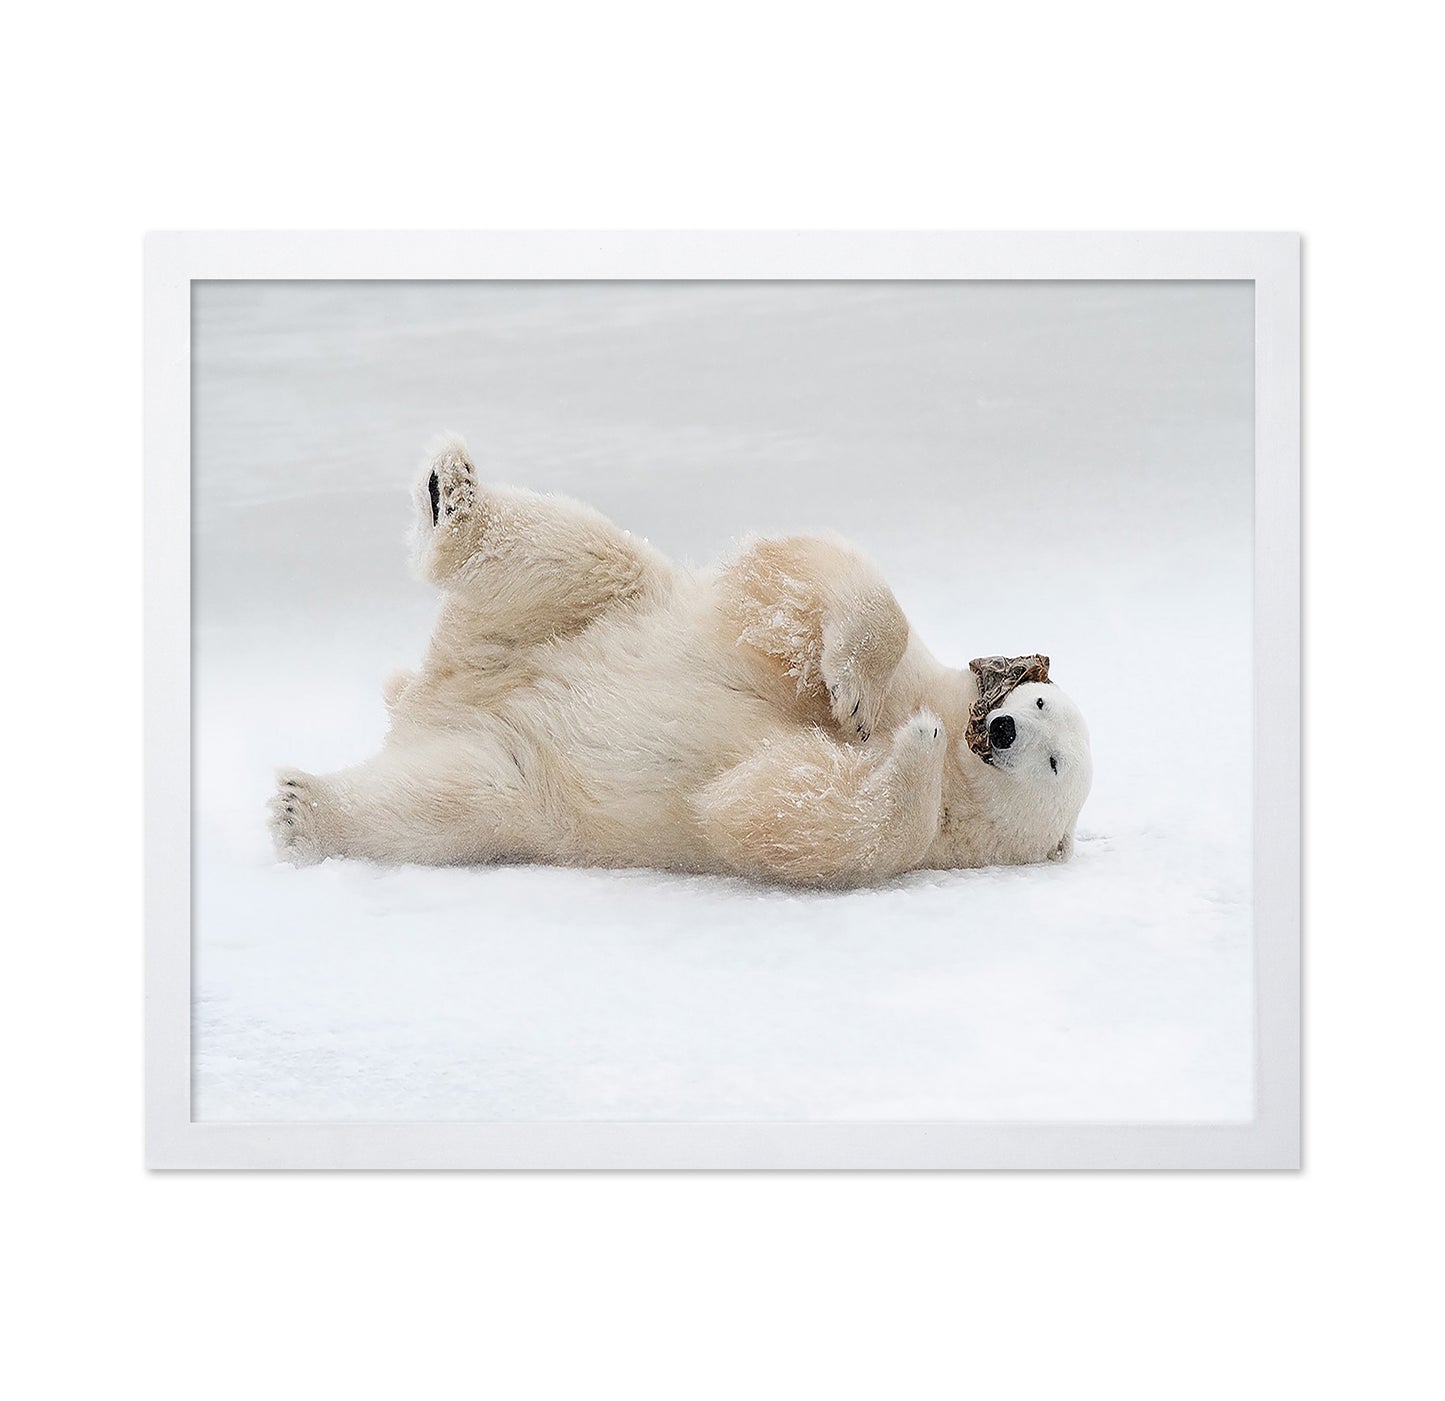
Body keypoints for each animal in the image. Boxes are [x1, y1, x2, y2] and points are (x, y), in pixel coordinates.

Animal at [269, 436, 1093, 887]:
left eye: (1054, 763)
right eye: (1039, 704)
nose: (1004, 731)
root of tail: (438, 691)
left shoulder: (929, 846)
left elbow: (798, 817)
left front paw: (910, 744)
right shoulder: (903, 662)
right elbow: (809, 582)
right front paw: (856, 697)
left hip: (521, 778)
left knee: (440, 803)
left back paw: (304, 808)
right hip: (587, 611)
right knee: (571, 548)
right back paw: (452, 492)